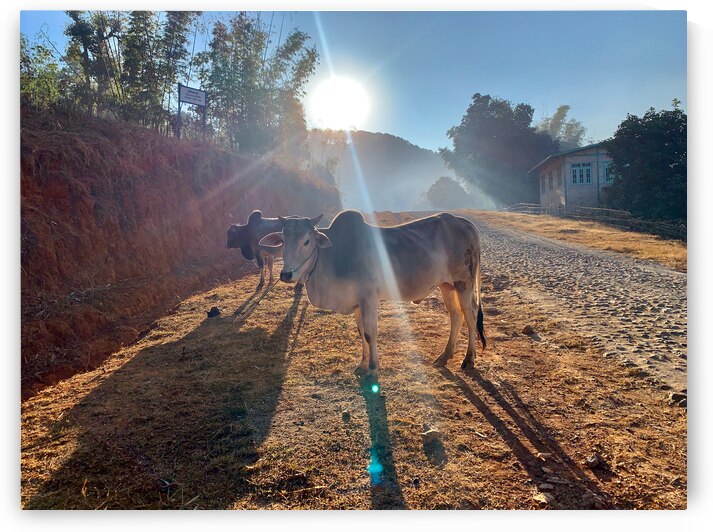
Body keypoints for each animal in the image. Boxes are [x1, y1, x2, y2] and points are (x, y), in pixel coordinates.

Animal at [259, 210, 486, 376]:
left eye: (307, 241)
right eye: (284, 241)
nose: (286, 274)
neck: (332, 256)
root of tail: (465, 223)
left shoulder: (368, 299)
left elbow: (370, 333)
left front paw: (373, 368)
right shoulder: (357, 303)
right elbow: (361, 334)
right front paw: (362, 364)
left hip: (464, 284)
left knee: (470, 315)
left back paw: (468, 359)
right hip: (446, 286)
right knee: (456, 316)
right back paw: (445, 356)